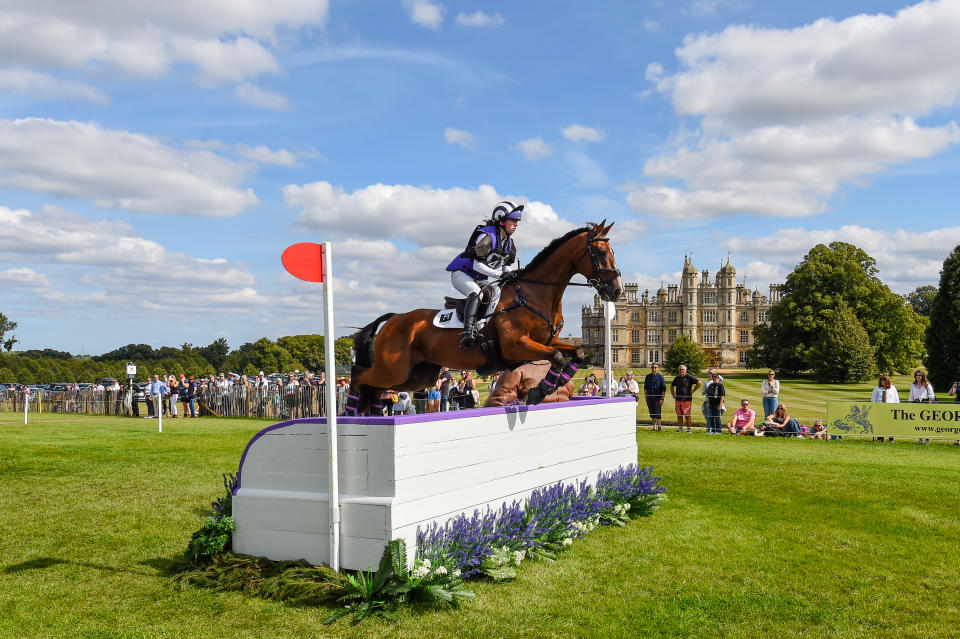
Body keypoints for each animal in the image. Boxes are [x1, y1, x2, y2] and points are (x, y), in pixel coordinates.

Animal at [344, 222, 624, 418]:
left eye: (612, 251)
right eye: (600, 252)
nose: (617, 291)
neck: (534, 293)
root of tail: (394, 320)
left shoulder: (546, 342)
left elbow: (576, 353)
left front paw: (552, 385)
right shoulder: (516, 346)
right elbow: (556, 357)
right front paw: (540, 391)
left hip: (417, 376)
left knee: (376, 387)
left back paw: (370, 413)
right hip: (394, 367)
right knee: (359, 376)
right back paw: (349, 412)